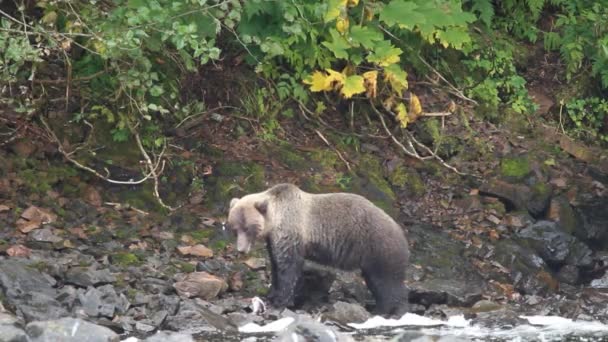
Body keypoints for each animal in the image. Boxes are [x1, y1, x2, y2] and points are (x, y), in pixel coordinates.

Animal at [226, 184, 410, 316]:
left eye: (248, 228)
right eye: (235, 228)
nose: (241, 250)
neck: (275, 219)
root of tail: (400, 230)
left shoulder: (291, 230)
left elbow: (288, 268)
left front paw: (279, 300)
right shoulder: (274, 240)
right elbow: (276, 265)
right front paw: (271, 294)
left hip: (378, 246)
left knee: (387, 280)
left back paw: (389, 310)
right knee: (375, 281)